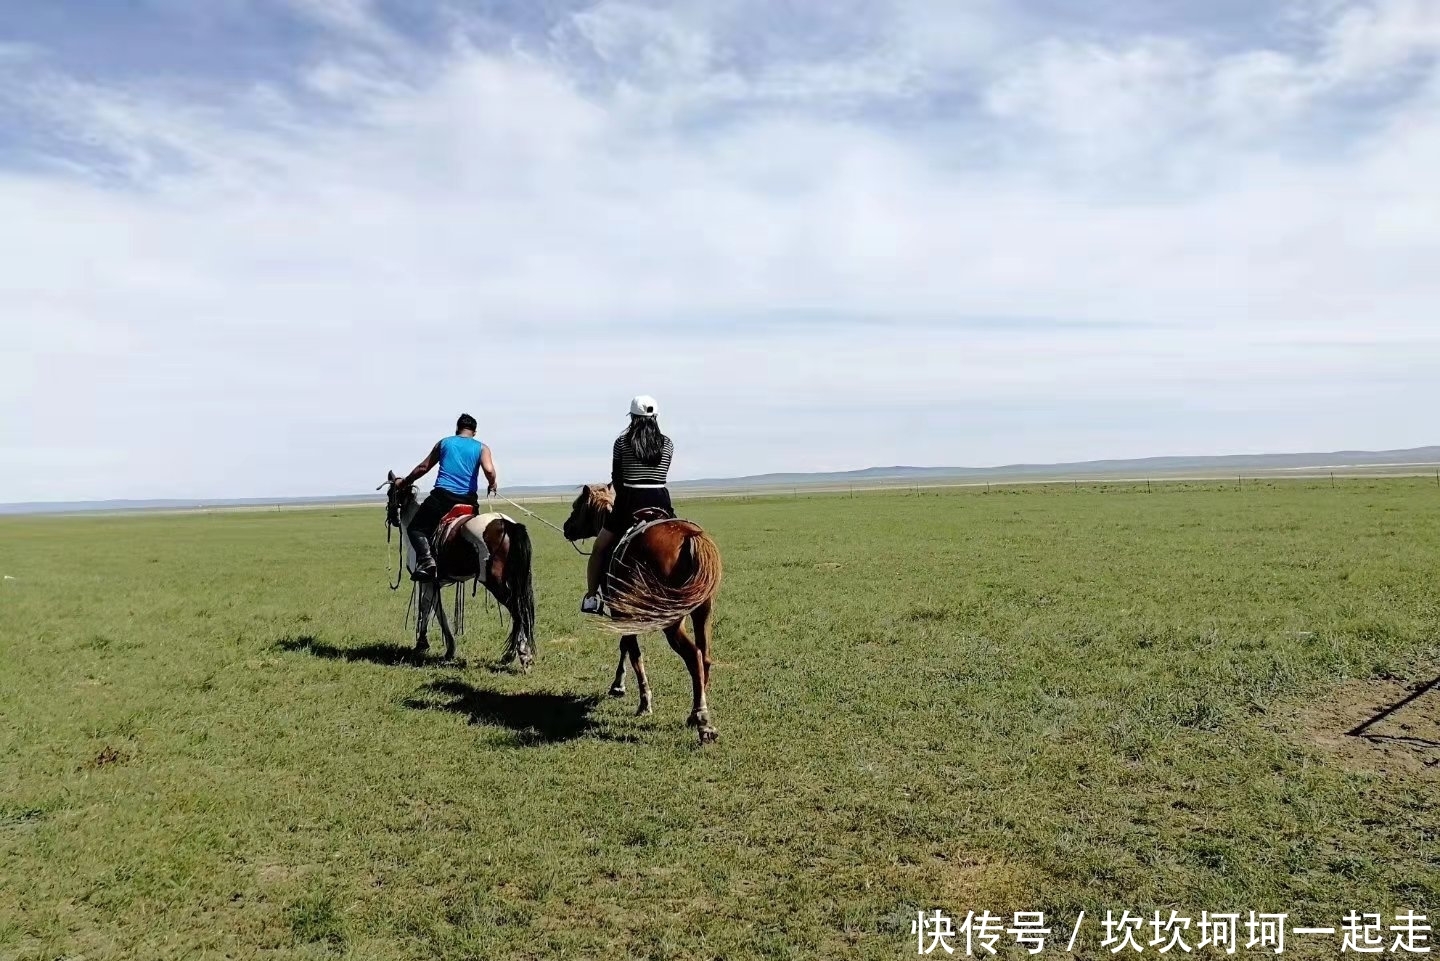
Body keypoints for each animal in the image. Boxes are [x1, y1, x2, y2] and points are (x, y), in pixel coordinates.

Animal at [380, 472, 538, 668]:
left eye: (390, 493)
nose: (392, 518)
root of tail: (506, 524)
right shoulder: (435, 582)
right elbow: (437, 611)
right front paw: (449, 649)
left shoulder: (426, 580)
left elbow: (426, 608)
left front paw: (422, 645)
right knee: (521, 610)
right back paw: (516, 653)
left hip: (494, 582)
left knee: (518, 611)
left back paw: (520, 654)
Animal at [561, 484, 720, 749]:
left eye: (576, 506)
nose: (566, 527)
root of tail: (690, 537)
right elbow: (628, 647)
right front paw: (621, 687)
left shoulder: (621, 613)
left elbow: (631, 650)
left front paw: (637, 697)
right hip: (702, 611)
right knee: (704, 656)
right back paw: (693, 714)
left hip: (672, 620)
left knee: (693, 656)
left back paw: (702, 721)